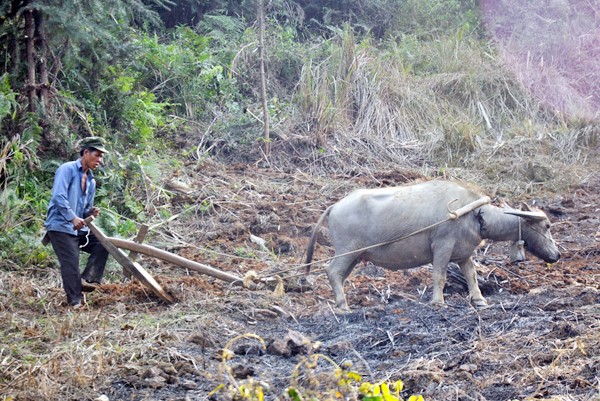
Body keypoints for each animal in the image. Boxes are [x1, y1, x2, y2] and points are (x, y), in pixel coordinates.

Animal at [308, 180, 560, 310]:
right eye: (547, 225)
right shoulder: (442, 247)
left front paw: (479, 299)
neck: (474, 214)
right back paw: (343, 306)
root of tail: (335, 206)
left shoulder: (464, 254)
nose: (556, 255)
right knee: (332, 271)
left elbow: (472, 276)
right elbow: (439, 275)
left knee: (339, 275)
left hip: (355, 255)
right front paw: (438, 301)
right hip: (346, 251)